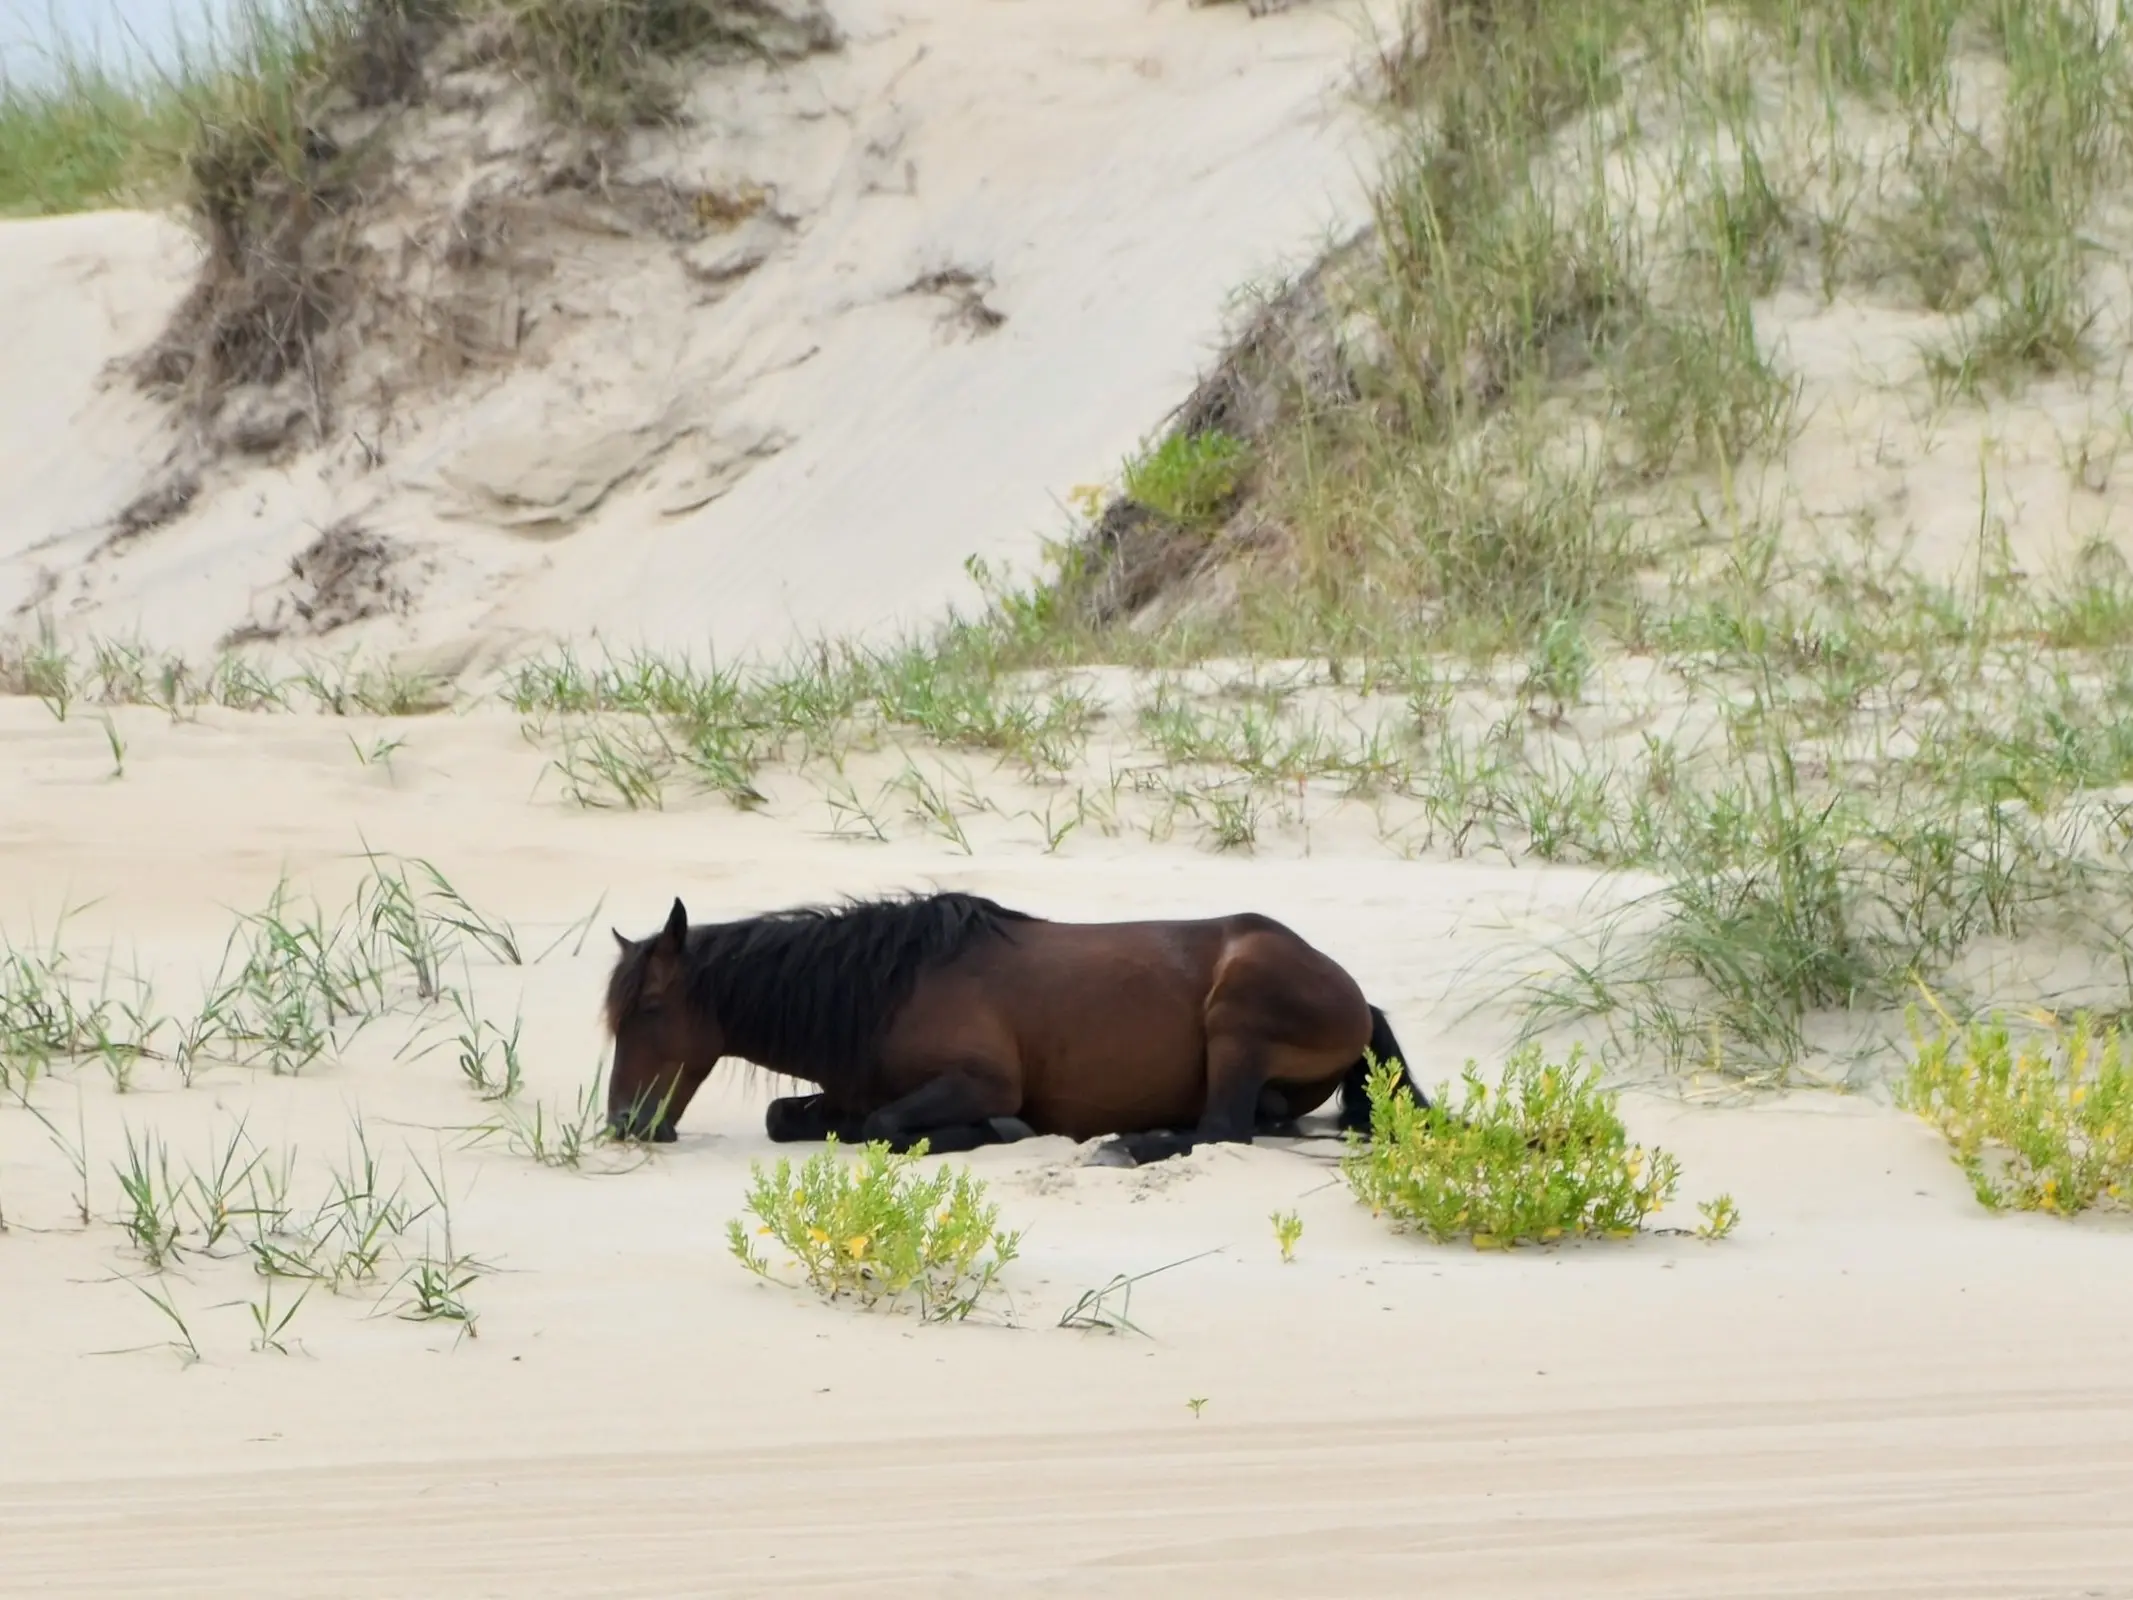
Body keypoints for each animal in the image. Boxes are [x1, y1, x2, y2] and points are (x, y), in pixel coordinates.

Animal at [605, 891, 1433, 1169]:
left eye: (650, 1009)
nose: (623, 1124)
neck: (887, 990)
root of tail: (1359, 999)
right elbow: (790, 1119)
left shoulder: (979, 1080)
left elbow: (885, 1125)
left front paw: (1001, 1131)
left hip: (1239, 1012)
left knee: (1222, 1128)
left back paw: (1128, 1145)